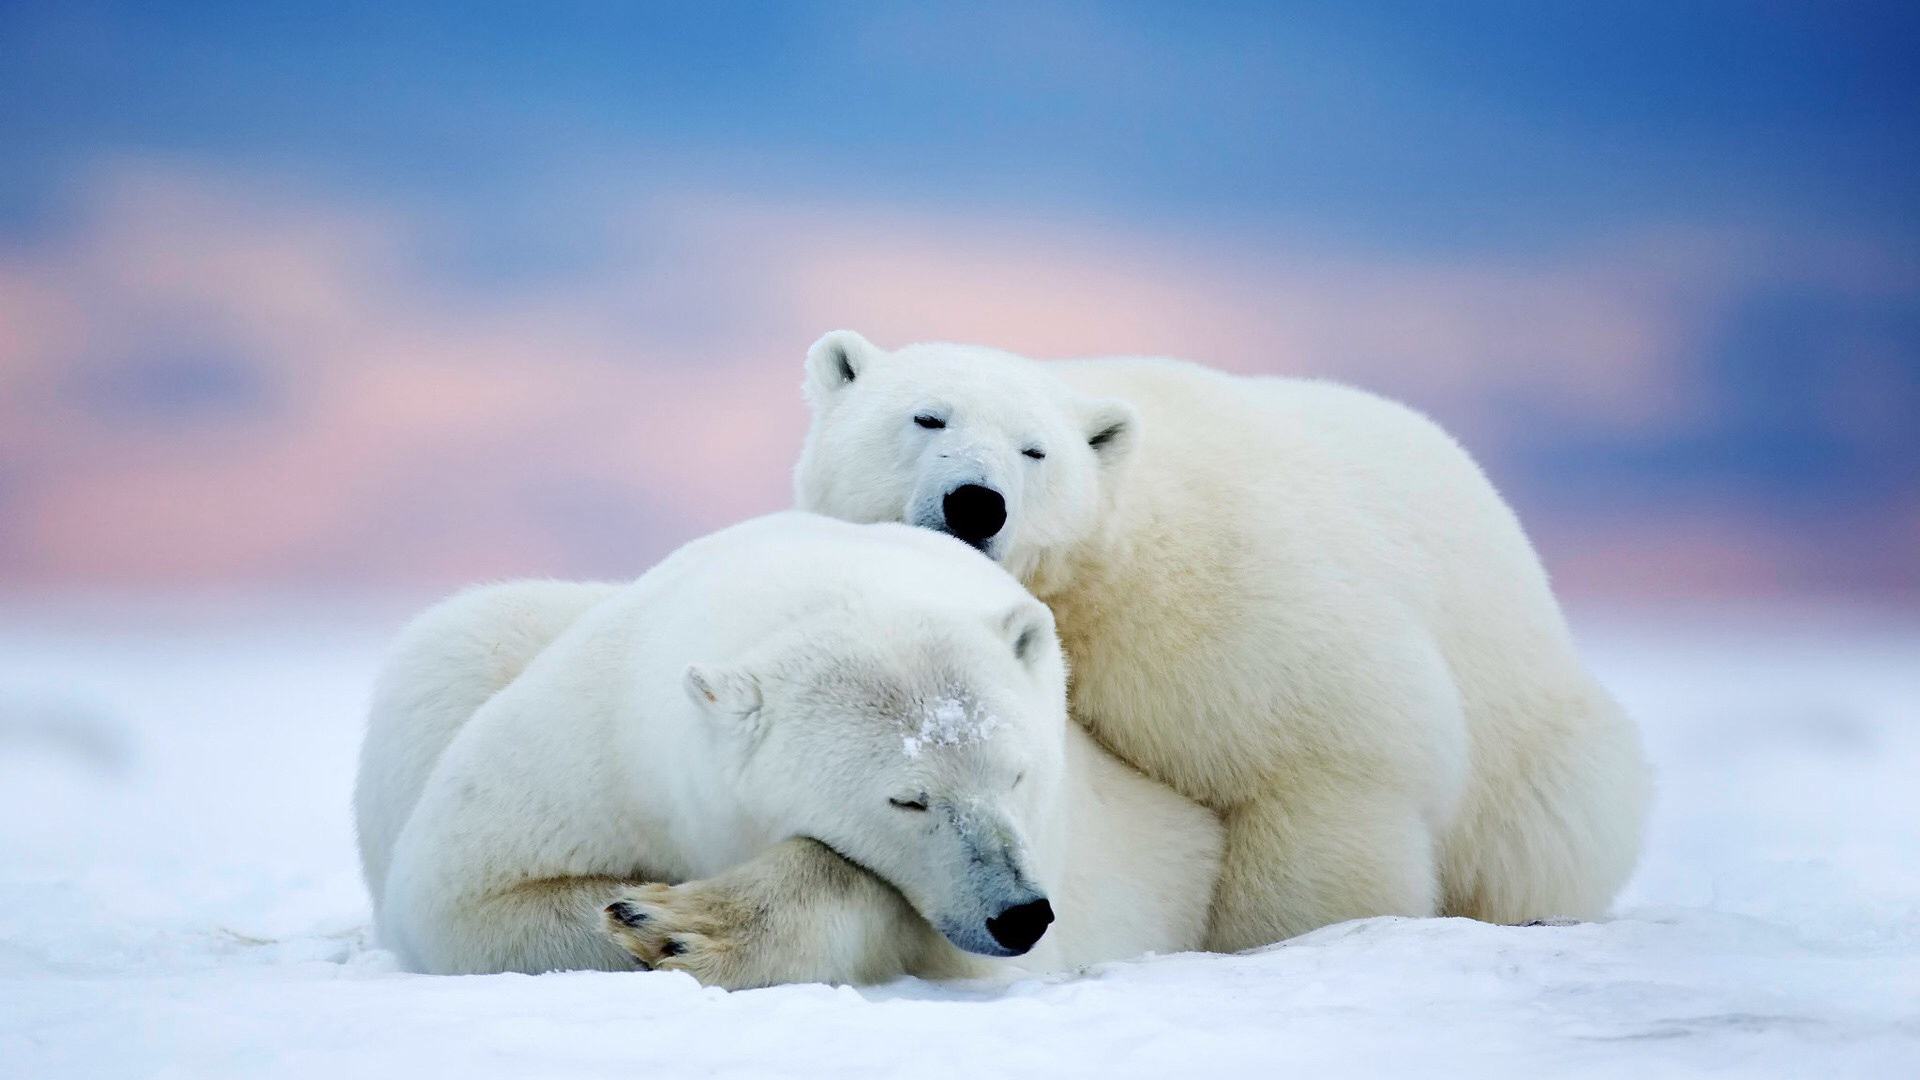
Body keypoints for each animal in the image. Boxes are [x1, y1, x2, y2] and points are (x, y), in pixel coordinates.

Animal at [355, 507, 1221, 980]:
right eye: (907, 799)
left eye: (1017, 775)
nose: (1019, 914)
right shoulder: (598, 745)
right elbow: (466, 895)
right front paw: (644, 914)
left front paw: (682, 924)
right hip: (463, 653)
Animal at [791, 330, 1651, 949]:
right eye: (926, 416)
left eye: (1035, 450)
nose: (977, 501)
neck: (1102, 572)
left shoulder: (1228, 612)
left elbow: (1325, 764)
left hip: (1536, 748)